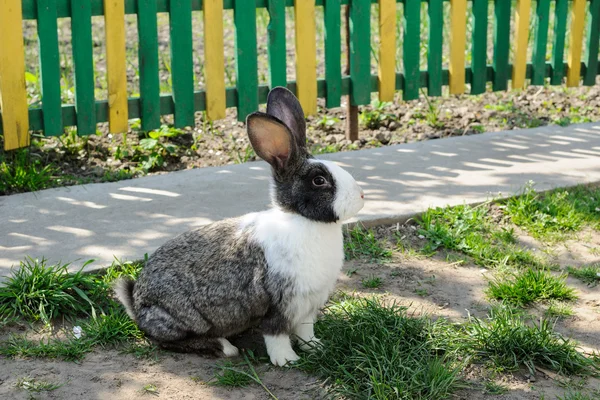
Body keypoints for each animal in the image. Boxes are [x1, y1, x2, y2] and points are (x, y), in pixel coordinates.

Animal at [113, 86, 366, 366]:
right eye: (319, 180)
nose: (361, 196)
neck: (301, 219)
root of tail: (136, 303)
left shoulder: (307, 305)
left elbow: (305, 330)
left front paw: (316, 348)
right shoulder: (278, 303)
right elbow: (276, 334)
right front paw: (287, 360)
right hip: (178, 318)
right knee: (168, 340)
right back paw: (225, 347)